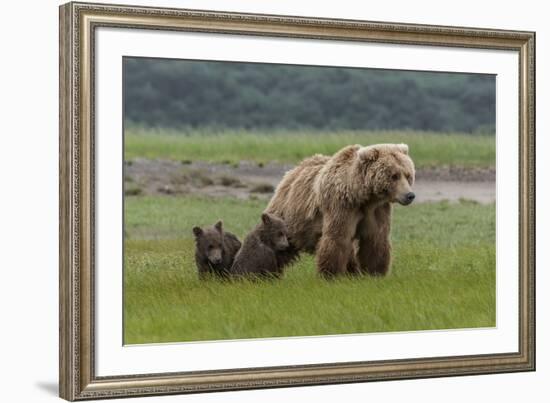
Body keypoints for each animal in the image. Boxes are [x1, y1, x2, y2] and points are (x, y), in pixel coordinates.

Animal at [266, 144, 416, 280]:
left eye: (408, 175)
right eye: (394, 176)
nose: (410, 195)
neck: (361, 195)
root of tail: (293, 170)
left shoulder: (377, 210)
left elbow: (375, 238)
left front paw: (375, 272)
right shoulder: (341, 206)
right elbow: (338, 237)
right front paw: (331, 274)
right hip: (290, 216)